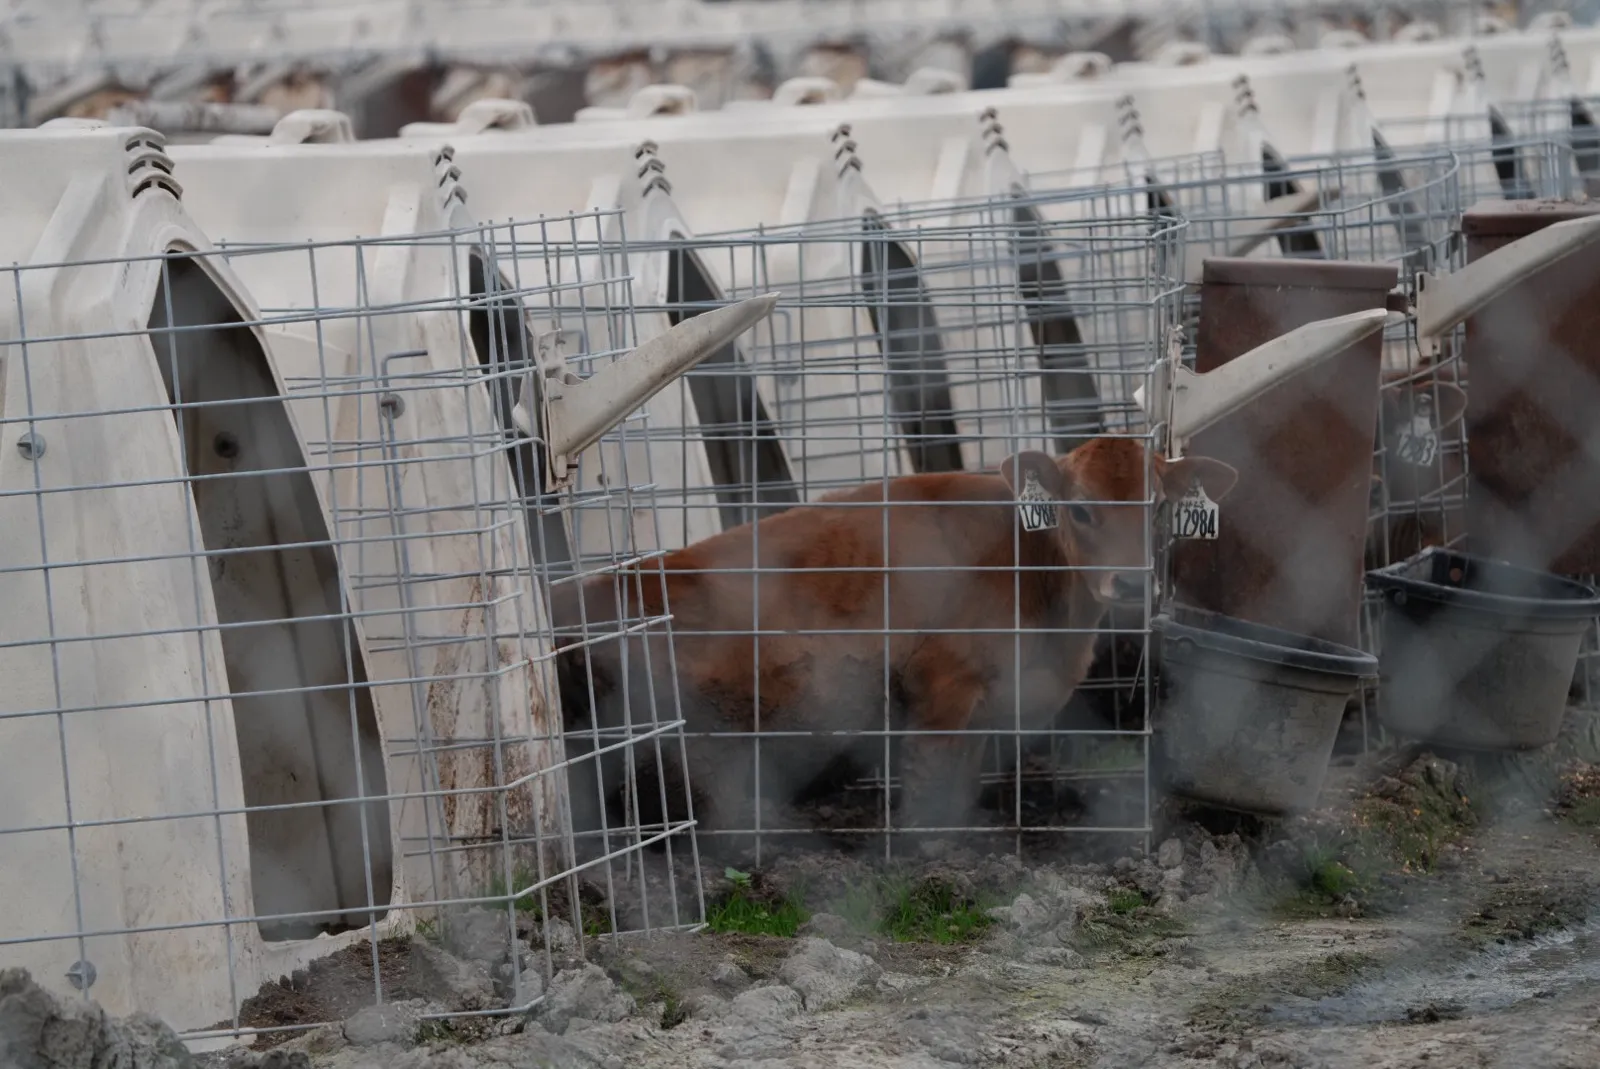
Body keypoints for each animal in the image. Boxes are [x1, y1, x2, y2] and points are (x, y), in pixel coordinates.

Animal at [549, 436, 1238, 847]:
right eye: (1082, 509)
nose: (1132, 581)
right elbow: (932, 776)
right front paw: (930, 846)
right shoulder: (942, 685)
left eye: (1157, 508)